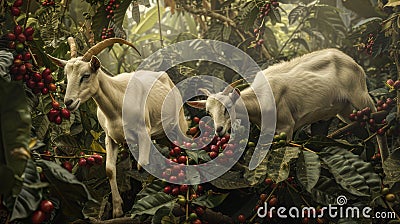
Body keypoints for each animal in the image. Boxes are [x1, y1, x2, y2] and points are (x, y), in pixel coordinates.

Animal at [47, 37, 188, 218]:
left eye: (86, 75)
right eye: (67, 76)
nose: (69, 102)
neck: (117, 106)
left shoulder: (144, 132)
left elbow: (142, 165)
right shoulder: (110, 137)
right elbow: (109, 170)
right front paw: (117, 210)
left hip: (179, 124)